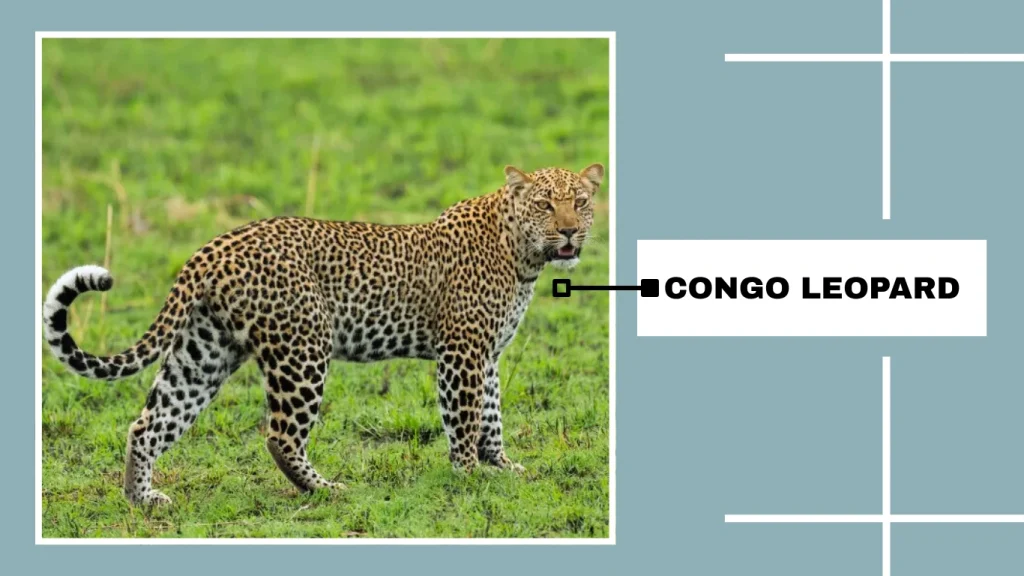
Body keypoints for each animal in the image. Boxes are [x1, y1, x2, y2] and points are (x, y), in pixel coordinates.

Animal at [42, 163, 605, 506]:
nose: (570, 231)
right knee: (280, 434)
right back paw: (325, 489)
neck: (523, 255)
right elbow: (465, 420)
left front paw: (502, 467)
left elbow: (491, 415)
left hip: (203, 352)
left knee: (148, 423)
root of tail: (214, 246)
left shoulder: (486, 355)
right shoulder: (462, 352)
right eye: (545, 205)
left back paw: (142, 499)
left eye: (580, 201)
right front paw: (467, 478)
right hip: (303, 349)